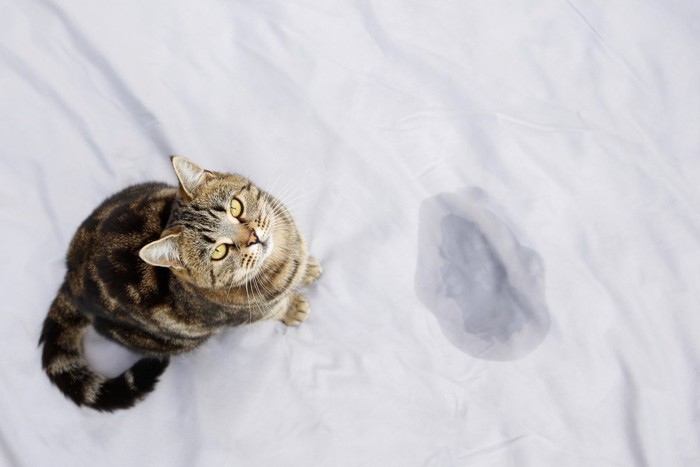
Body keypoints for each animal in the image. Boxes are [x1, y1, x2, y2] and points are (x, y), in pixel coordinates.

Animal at [39, 156, 322, 410]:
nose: (254, 237)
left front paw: (308, 268)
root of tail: (70, 277)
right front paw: (294, 308)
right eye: (219, 252)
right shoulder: (246, 314)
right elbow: (275, 309)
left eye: (235, 208)